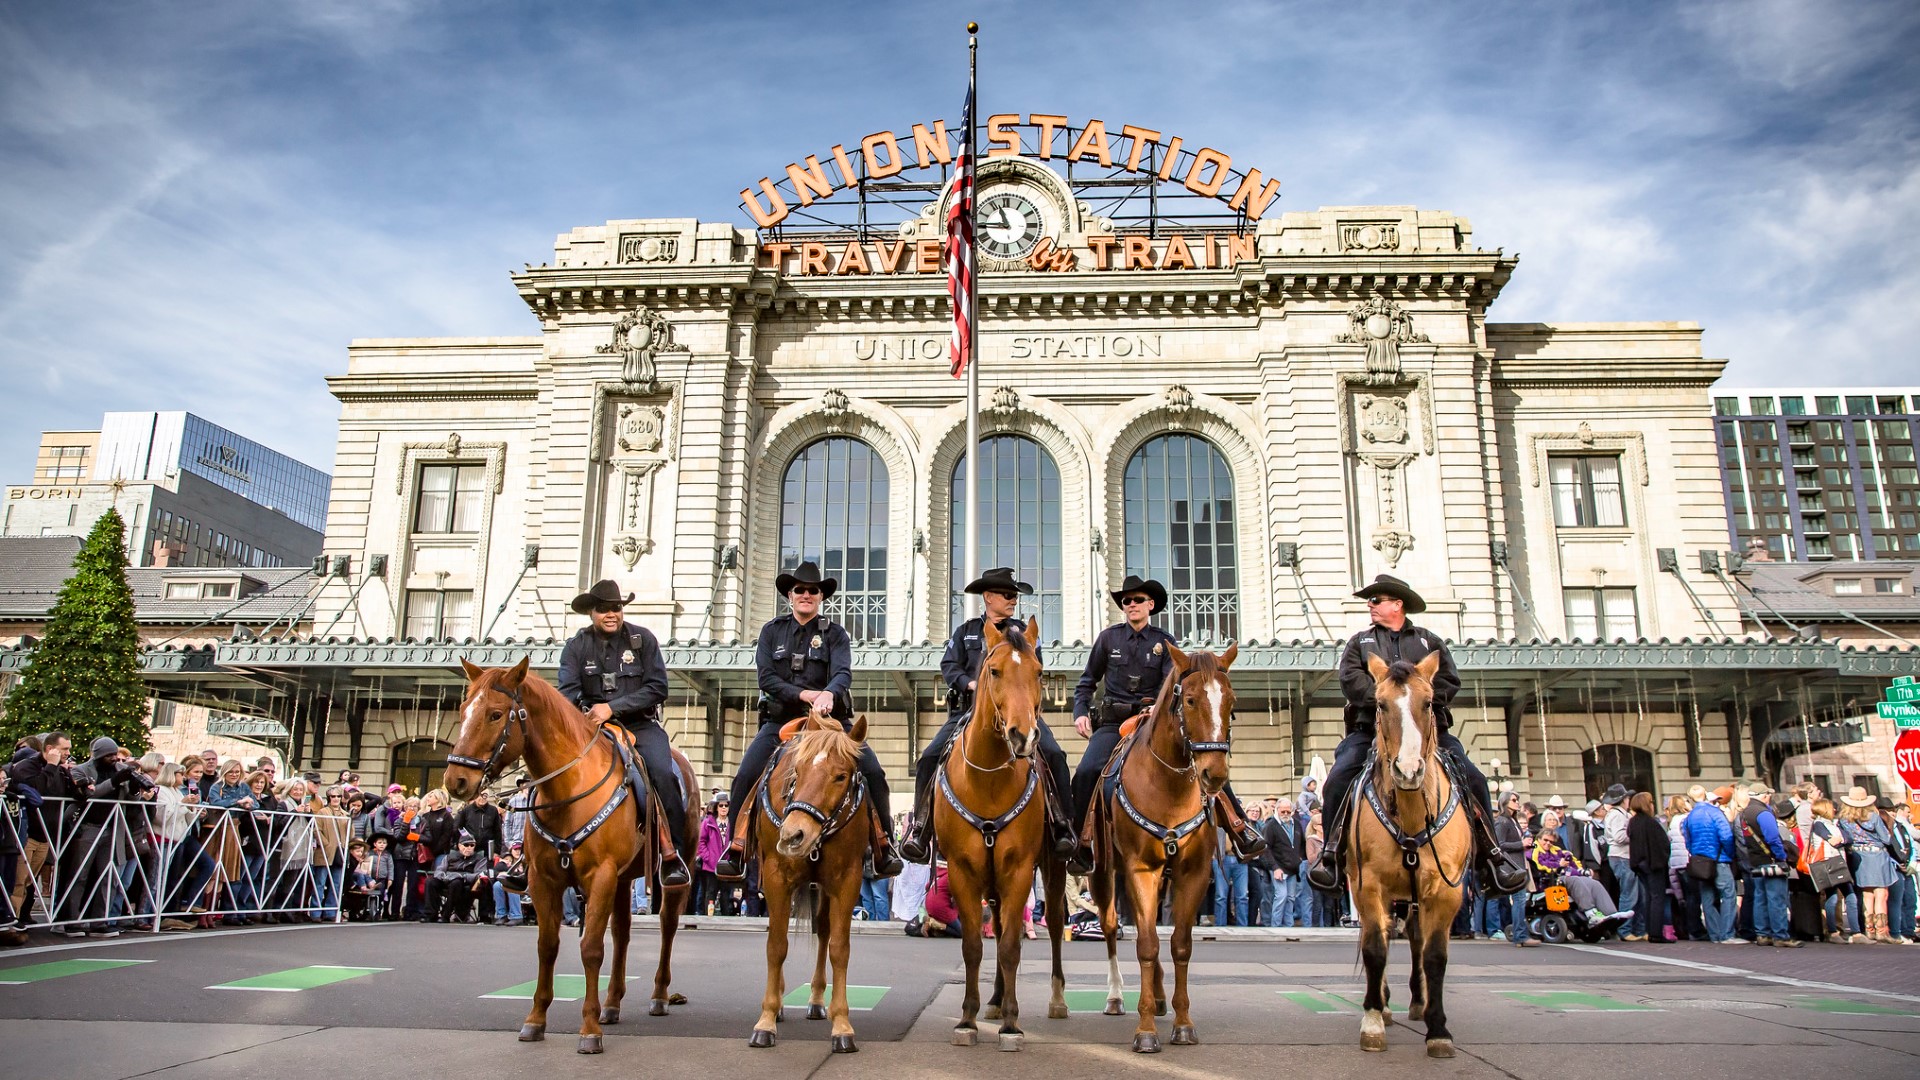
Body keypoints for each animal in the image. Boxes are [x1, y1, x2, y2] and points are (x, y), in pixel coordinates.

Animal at [443, 657, 698, 1053]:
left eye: (496, 714)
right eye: (463, 710)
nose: (456, 781)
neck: (567, 788)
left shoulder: (600, 875)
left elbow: (591, 948)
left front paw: (589, 1029)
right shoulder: (544, 880)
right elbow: (548, 946)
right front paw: (536, 1019)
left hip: (666, 875)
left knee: (667, 926)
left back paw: (658, 994)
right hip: (622, 879)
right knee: (622, 934)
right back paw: (612, 1003)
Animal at [744, 714, 875, 1053]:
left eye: (841, 776)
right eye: (797, 772)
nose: (793, 836)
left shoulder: (846, 880)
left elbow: (839, 948)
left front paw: (842, 1025)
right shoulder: (776, 876)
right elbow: (776, 946)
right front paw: (765, 1020)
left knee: (824, 931)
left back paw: (816, 1000)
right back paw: (778, 1003)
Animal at [933, 614, 1075, 1045]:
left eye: (1039, 672)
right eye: (993, 671)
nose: (1022, 735)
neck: (989, 779)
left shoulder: (1018, 868)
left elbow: (1012, 945)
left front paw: (1012, 1023)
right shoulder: (963, 870)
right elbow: (974, 946)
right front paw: (967, 1018)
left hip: (1051, 867)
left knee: (1056, 922)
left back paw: (1056, 1000)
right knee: (993, 926)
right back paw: (994, 999)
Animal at [1090, 641, 1236, 1045]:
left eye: (1231, 702)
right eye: (1189, 700)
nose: (1214, 774)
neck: (1167, 786)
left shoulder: (1192, 873)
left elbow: (1178, 944)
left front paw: (1183, 1022)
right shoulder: (1140, 869)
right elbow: (1146, 944)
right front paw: (1145, 1031)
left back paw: (1156, 996)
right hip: (1105, 873)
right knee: (1112, 927)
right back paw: (1116, 996)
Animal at [1351, 645, 1466, 1053]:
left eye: (1429, 702)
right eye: (1380, 704)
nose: (1409, 770)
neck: (1414, 816)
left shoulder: (1448, 890)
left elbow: (1435, 956)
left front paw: (1439, 1028)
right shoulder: (1368, 885)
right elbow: (1374, 948)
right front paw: (1372, 1020)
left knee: (1416, 940)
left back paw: (1419, 1002)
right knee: (1385, 934)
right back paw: (1385, 1005)